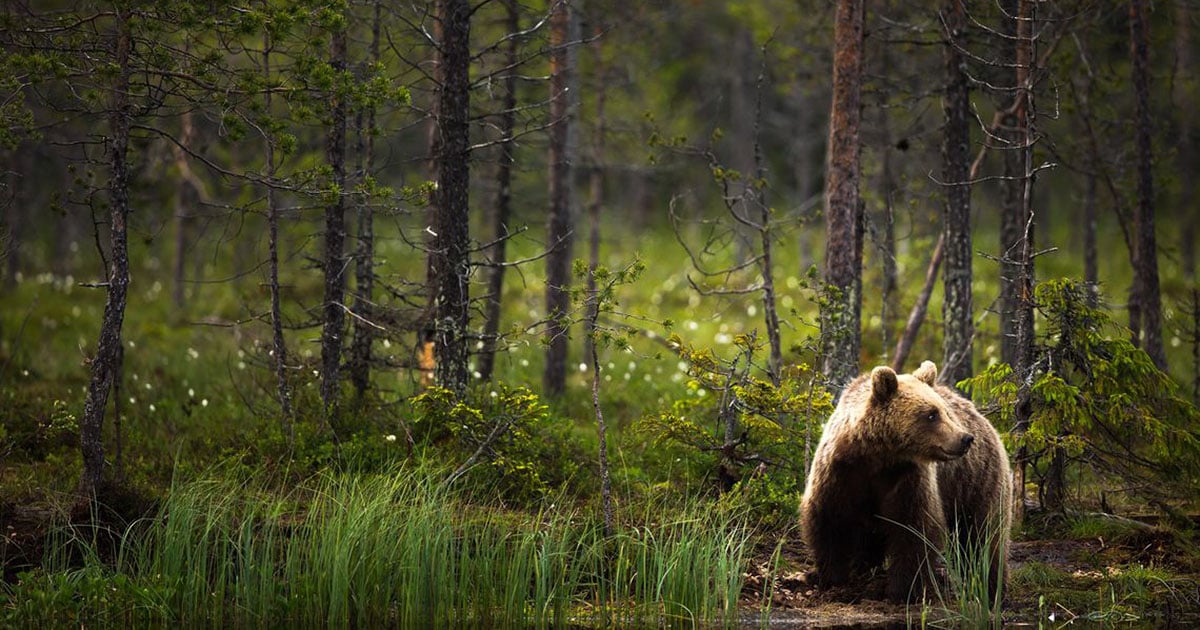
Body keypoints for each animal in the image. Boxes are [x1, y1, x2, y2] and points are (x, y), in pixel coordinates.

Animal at [800, 360, 1012, 603]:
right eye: (932, 414)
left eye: (945, 412)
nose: (965, 438)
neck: (879, 456)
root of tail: (982, 416)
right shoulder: (841, 472)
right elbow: (830, 519)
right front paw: (832, 577)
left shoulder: (908, 479)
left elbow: (913, 528)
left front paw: (901, 590)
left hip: (977, 480)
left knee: (984, 535)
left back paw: (991, 587)